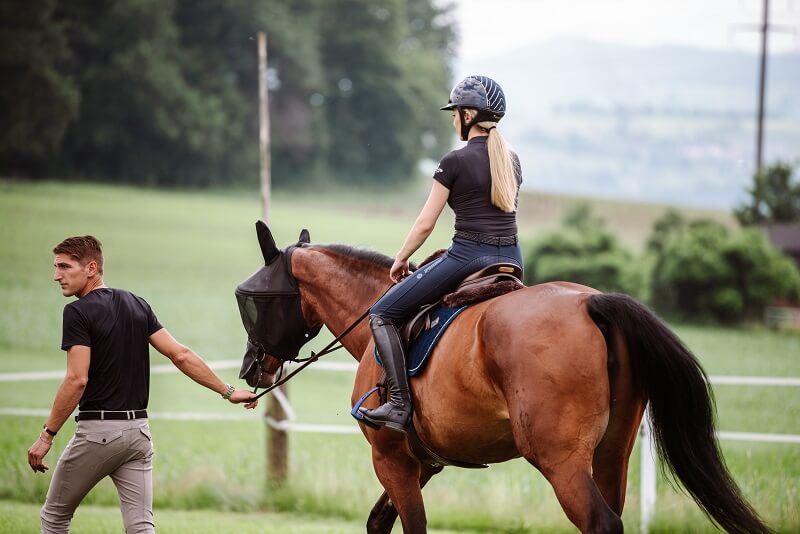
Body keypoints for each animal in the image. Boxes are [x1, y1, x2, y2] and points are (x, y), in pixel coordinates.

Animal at [238, 224, 768, 532]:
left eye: (253, 302)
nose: (250, 368)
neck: (375, 315)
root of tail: (590, 303)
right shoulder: (423, 463)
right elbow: (376, 521)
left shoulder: (391, 459)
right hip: (610, 456)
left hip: (561, 462)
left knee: (600, 524)